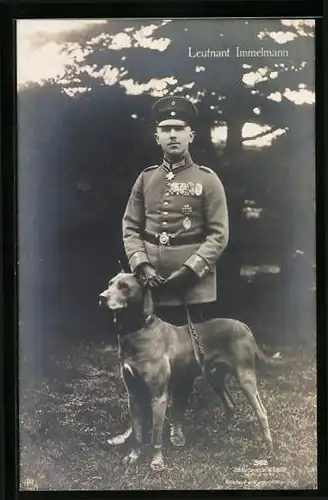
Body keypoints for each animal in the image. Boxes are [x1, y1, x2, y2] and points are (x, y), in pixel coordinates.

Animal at [98, 272, 278, 470]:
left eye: (124, 286)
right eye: (110, 283)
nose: (102, 297)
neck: (138, 330)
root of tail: (243, 326)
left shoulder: (159, 396)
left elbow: (156, 436)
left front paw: (157, 461)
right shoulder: (134, 394)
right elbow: (138, 433)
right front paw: (133, 456)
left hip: (245, 378)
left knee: (261, 412)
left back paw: (268, 444)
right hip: (215, 378)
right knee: (230, 405)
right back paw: (223, 432)